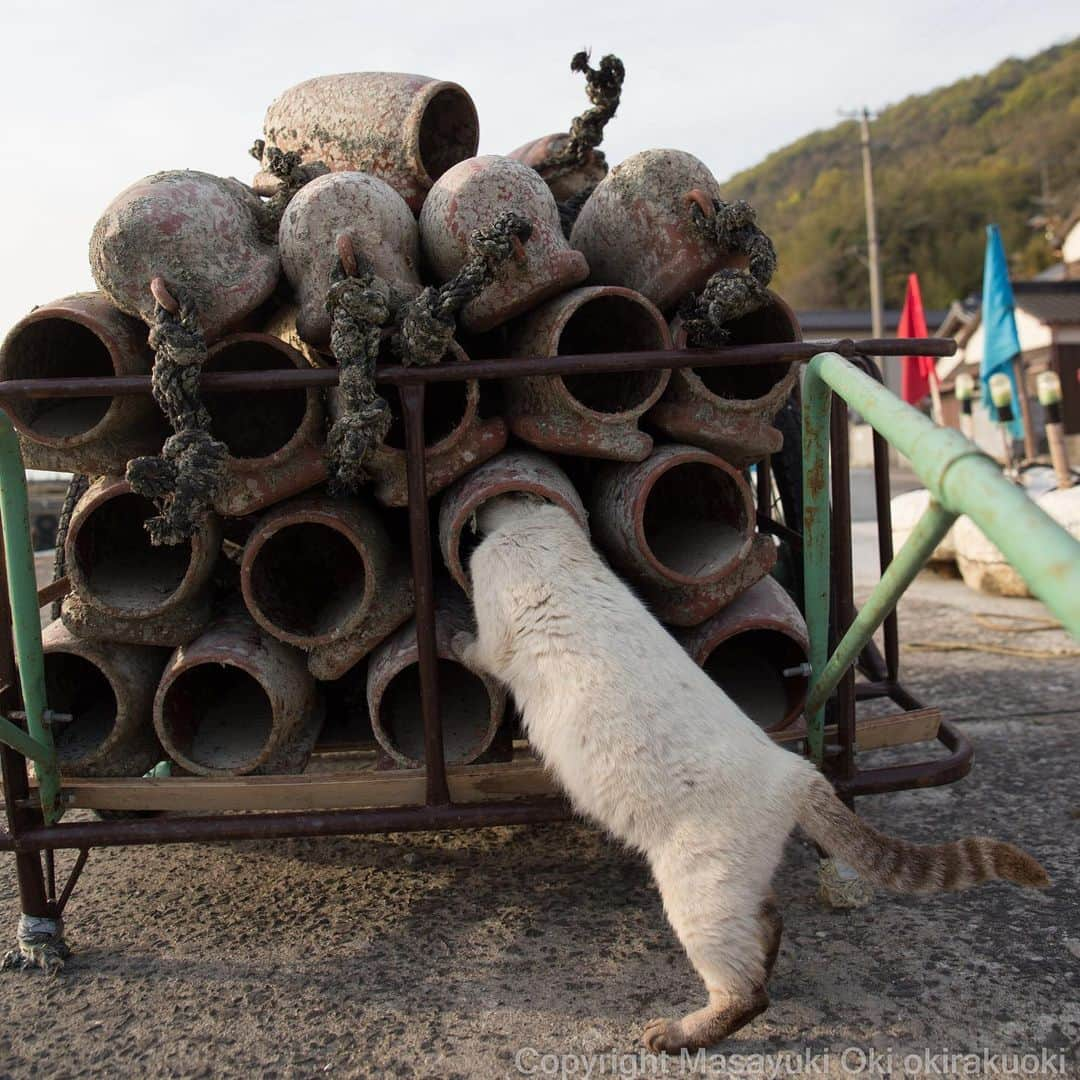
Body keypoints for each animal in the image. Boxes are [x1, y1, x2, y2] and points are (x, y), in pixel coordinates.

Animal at [451, 496, 1049, 1054]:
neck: (536, 526)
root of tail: (798, 772)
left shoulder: (497, 631)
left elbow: (477, 650)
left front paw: (456, 641)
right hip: (730, 885)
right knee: (768, 925)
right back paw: (759, 966)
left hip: (696, 893)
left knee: (747, 993)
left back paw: (680, 1033)